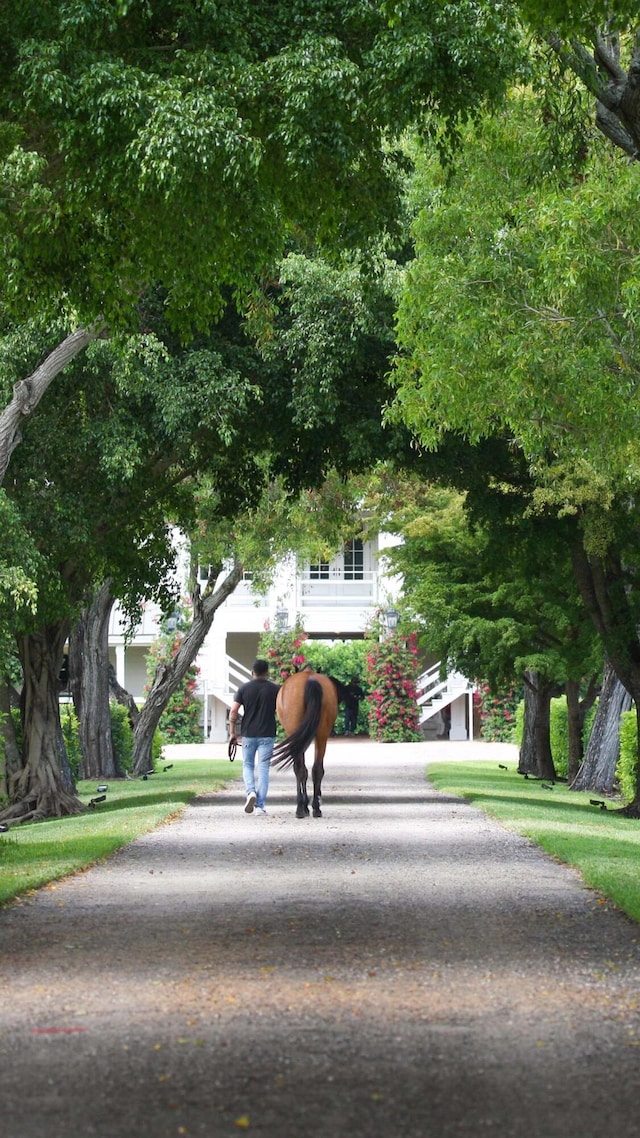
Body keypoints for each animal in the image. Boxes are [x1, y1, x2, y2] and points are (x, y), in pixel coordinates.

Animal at [269, 664, 339, 819]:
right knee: (317, 769)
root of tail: (310, 680)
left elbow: (300, 770)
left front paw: (303, 805)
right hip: (322, 735)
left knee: (299, 769)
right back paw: (316, 808)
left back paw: (301, 808)